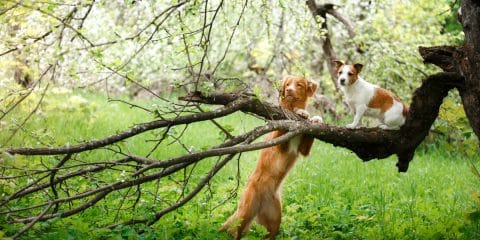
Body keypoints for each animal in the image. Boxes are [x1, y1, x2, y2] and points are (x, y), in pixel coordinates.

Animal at [219, 76, 320, 239]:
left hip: (274, 220)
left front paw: (315, 118)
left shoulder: (303, 150)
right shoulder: (279, 144)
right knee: (234, 231)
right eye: (287, 84)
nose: (289, 90)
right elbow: (283, 123)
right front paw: (301, 112)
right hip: (245, 213)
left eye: (299, 85)